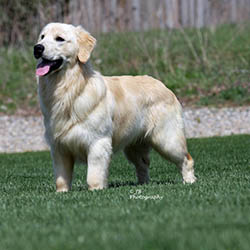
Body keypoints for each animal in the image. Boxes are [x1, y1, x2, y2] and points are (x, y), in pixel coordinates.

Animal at [33, 23, 197, 191]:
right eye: (42, 37)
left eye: (59, 39)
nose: (37, 48)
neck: (70, 88)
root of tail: (163, 85)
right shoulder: (59, 147)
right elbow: (61, 178)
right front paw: (62, 192)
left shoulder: (98, 142)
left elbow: (94, 175)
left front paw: (96, 190)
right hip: (134, 146)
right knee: (143, 165)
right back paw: (143, 184)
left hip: (167, 140)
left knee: (186, 159)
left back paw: (189, 181)